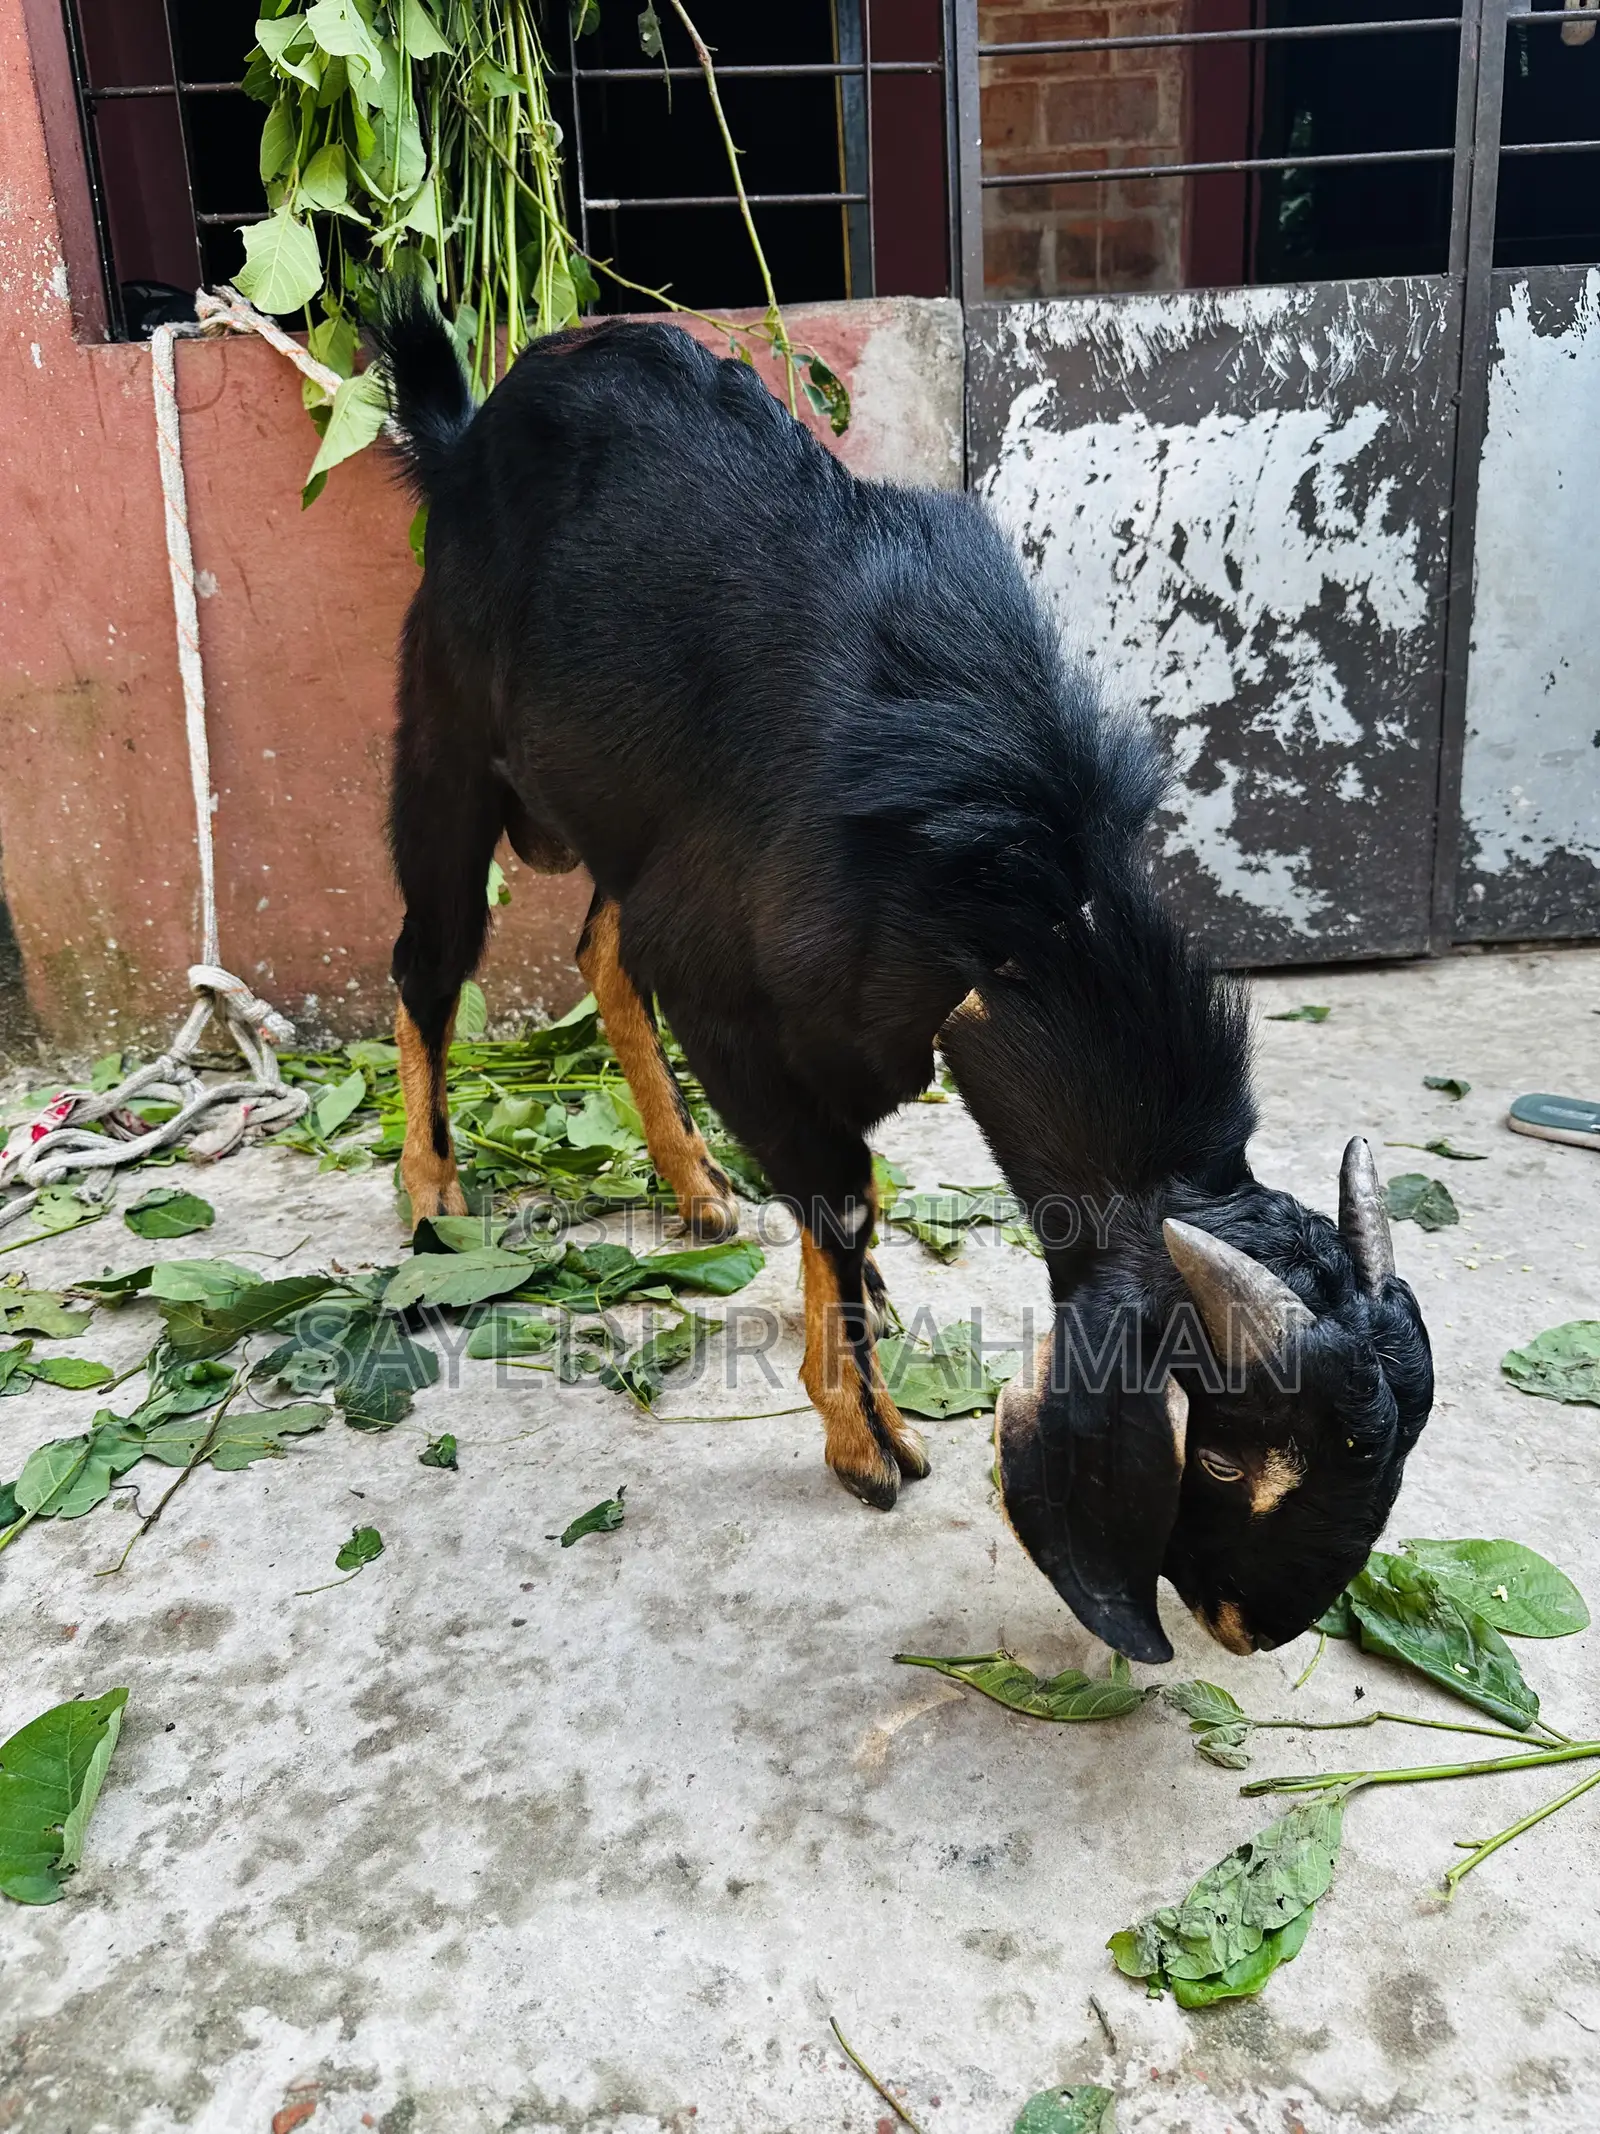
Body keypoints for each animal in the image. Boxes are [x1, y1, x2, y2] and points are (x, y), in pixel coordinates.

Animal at [372, 285, 1434, 1664]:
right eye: (1215, 1458)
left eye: (1393, 1451)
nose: (1254, 1624)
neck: (1011, 876)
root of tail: (464, 436)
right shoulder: (730, 994)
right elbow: (835, 1192)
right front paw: (866, 1436)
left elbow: (848, 1183)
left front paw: (854, 1301)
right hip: (445, 732)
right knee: (429, 956)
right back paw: (434, 1195)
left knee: (599, 943)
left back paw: (699, 1188)